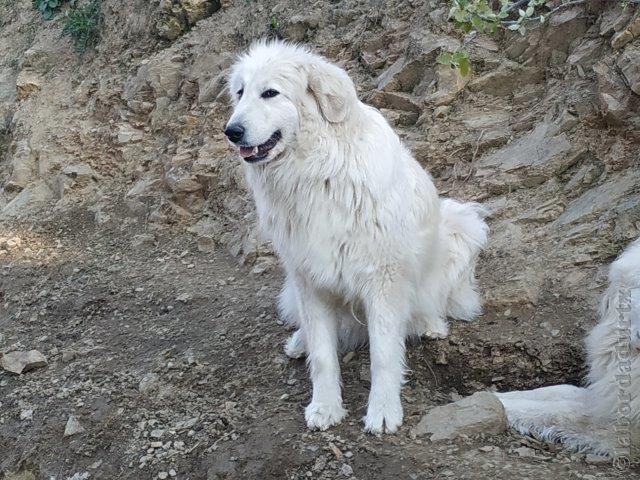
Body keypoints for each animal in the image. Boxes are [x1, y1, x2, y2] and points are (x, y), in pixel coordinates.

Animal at [222, 39, 488, 434]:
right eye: (240, 93)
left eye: (270, 93)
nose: (232, 131)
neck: (316, 174)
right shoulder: (309, 278)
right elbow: (323, 356)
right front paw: (325, 406)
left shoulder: (384, 279)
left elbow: (384, 354)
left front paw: (383, 410)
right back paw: (299, 341)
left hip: (460, 225)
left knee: (433, 302)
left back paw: (431, 324)